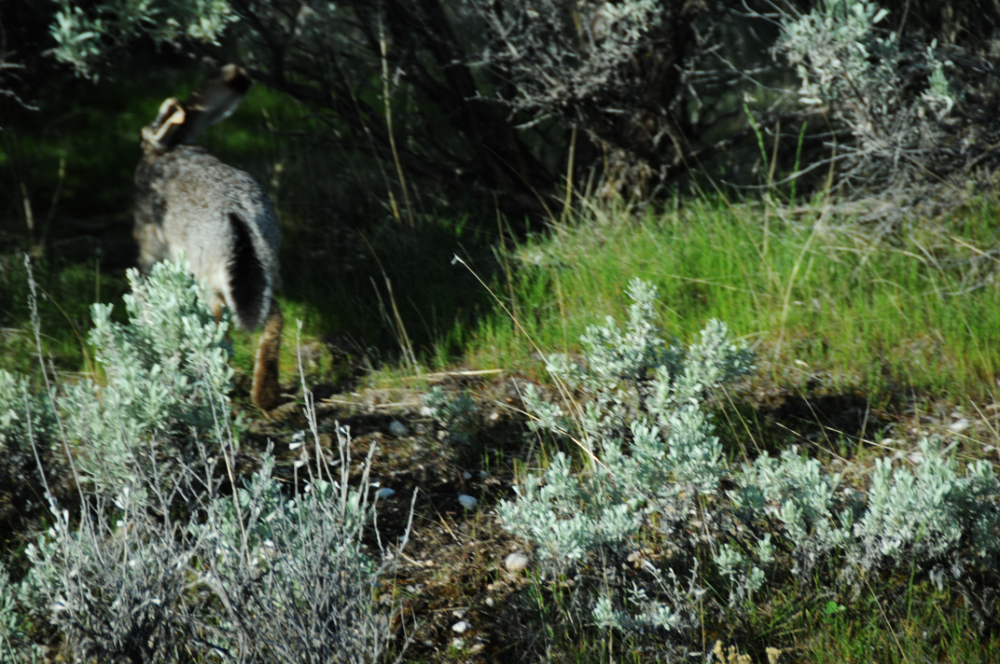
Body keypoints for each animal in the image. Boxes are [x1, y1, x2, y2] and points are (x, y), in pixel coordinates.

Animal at [135, 64, 283, 410]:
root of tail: (239, 221)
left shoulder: (150, 244)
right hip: (266, 272)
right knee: (274, 316)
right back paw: (265, 396)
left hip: (208, 283)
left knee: (215, 330)